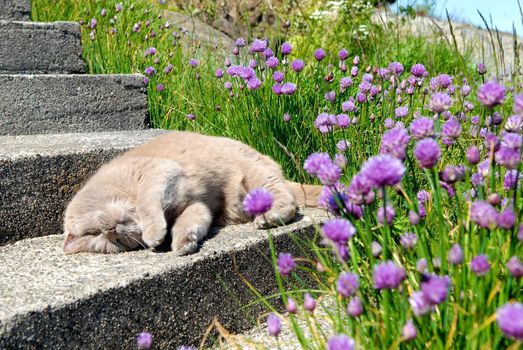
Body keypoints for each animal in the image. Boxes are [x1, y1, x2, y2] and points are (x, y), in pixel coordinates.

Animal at [63, 131, 322, 254]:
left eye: (94, 231)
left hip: (255, 173)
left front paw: (154, 234)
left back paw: (269, 217)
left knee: (286, 199)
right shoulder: (196, 205)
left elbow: (147, 203)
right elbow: (191, 222)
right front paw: (183, 243)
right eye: (105, 239)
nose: (111, 231)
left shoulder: (158, 171)